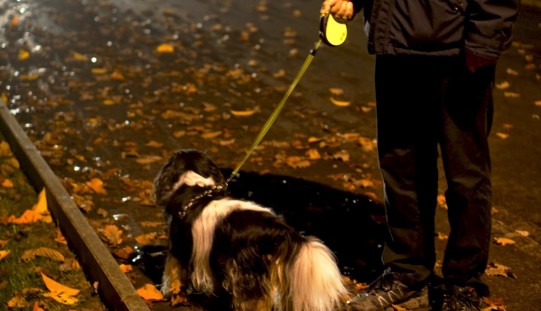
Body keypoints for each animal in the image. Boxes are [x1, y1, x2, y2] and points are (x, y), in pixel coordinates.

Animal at [152, 150, 346, 310]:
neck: (195, 185)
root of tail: (280, 229)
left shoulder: (178, 248)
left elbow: (172, 274)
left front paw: (169, 292)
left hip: (246, 273)